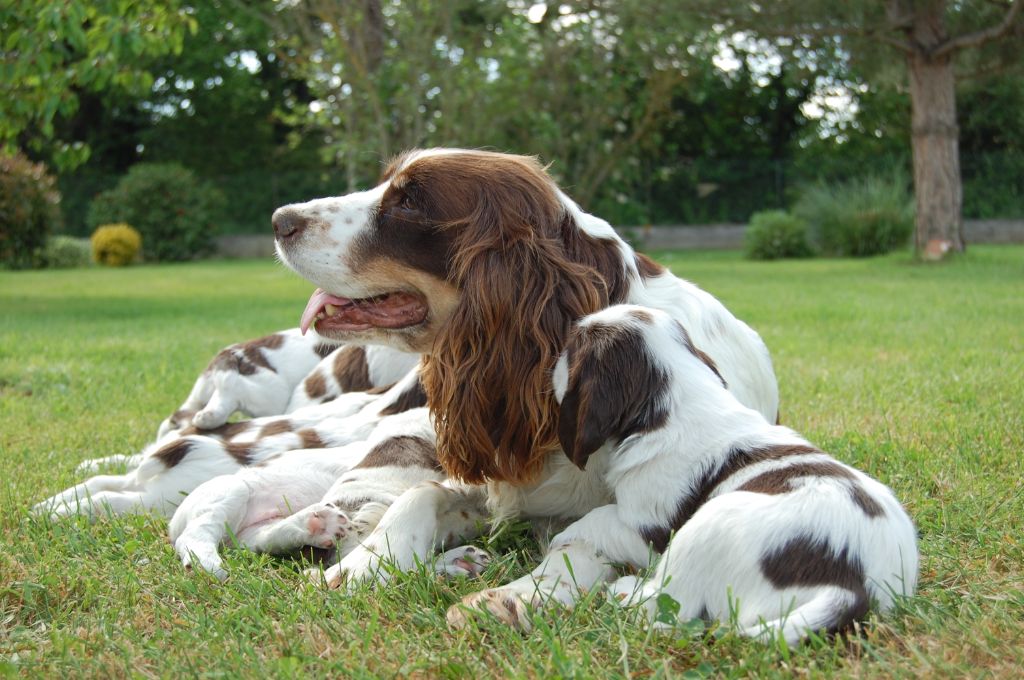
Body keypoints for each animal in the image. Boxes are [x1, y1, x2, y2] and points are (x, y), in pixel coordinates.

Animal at [448, 305, 921, 647]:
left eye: (573, 345)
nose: (553, 351)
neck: (675, 398)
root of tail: (851, 587)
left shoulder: (646, 526)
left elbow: (599, 519)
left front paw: (565, 535)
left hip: (708, 526)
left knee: (670, 601)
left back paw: (626, 591)